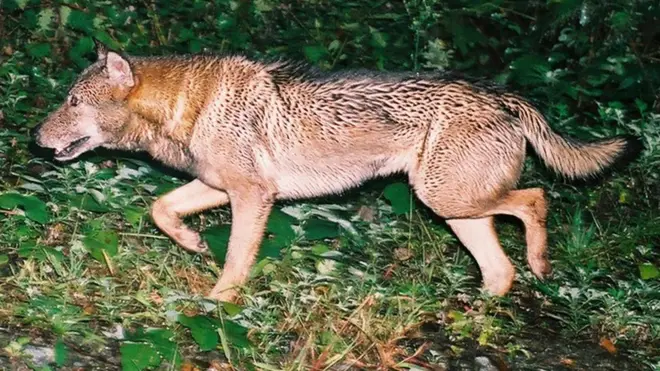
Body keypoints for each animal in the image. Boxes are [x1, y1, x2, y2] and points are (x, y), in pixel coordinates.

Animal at [32, 40, 640, 302]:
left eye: (70, 101)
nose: (34, 138)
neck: (190, 106)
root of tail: (501, 96)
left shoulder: (253, 196)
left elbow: (235, 262)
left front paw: (218, 302)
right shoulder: (216, 186)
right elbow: (160, 209)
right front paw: (191, 243)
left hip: (447, 199)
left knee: (536, 198)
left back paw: (539, 264)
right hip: (452, 210)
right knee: (500, 268)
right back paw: (481, 307)